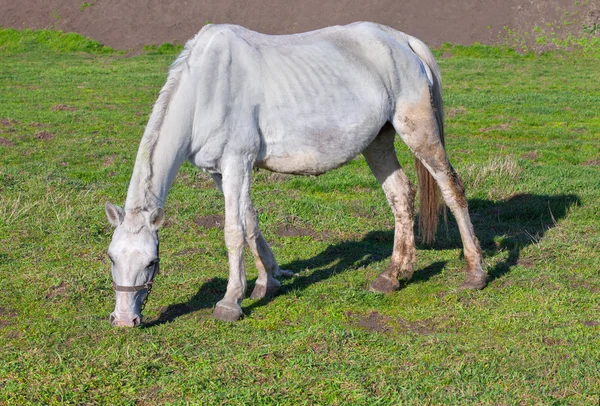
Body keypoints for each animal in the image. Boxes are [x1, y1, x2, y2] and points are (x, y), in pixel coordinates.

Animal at [104, 22, 488, 326]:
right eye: (111, 257)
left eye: (152, 262)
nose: (124, 320)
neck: (206, 88)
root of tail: (404, 41)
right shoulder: (221, 172)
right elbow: (250, 222)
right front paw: (266, 283)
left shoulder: (236, 163)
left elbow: (233, 231)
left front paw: (230, 302)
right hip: (378, 142)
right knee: (400, 195)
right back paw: (395, 275)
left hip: (419, 131)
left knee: (452, 189)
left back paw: (475, 274)